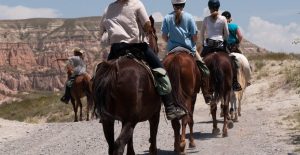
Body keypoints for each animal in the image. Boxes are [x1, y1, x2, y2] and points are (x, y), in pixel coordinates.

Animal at [92, 16, 162, 155]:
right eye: (156, 37)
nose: (157, 50)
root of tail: (113, 67)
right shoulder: (154, 114)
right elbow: (153, 139)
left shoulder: (126, 120)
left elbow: (130, 141)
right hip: (130, 119)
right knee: (118, 145)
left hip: (108, 121)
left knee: (111, 145)